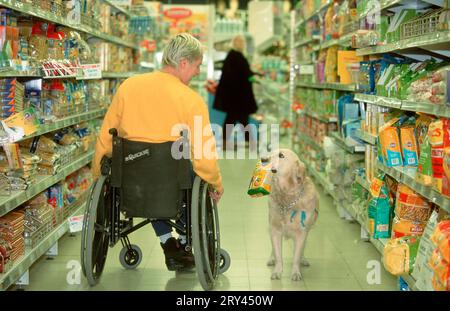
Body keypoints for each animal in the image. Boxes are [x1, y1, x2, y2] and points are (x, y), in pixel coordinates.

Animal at [264, 150, 320, 282]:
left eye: (281, 155)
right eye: (270, 152)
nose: (263, 159)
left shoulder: (302, 233)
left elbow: (296, 256)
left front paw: (295, 272)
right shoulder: (275, 230)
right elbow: (278, 255)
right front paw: (277, 271)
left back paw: (303, 259)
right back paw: (271, 258)